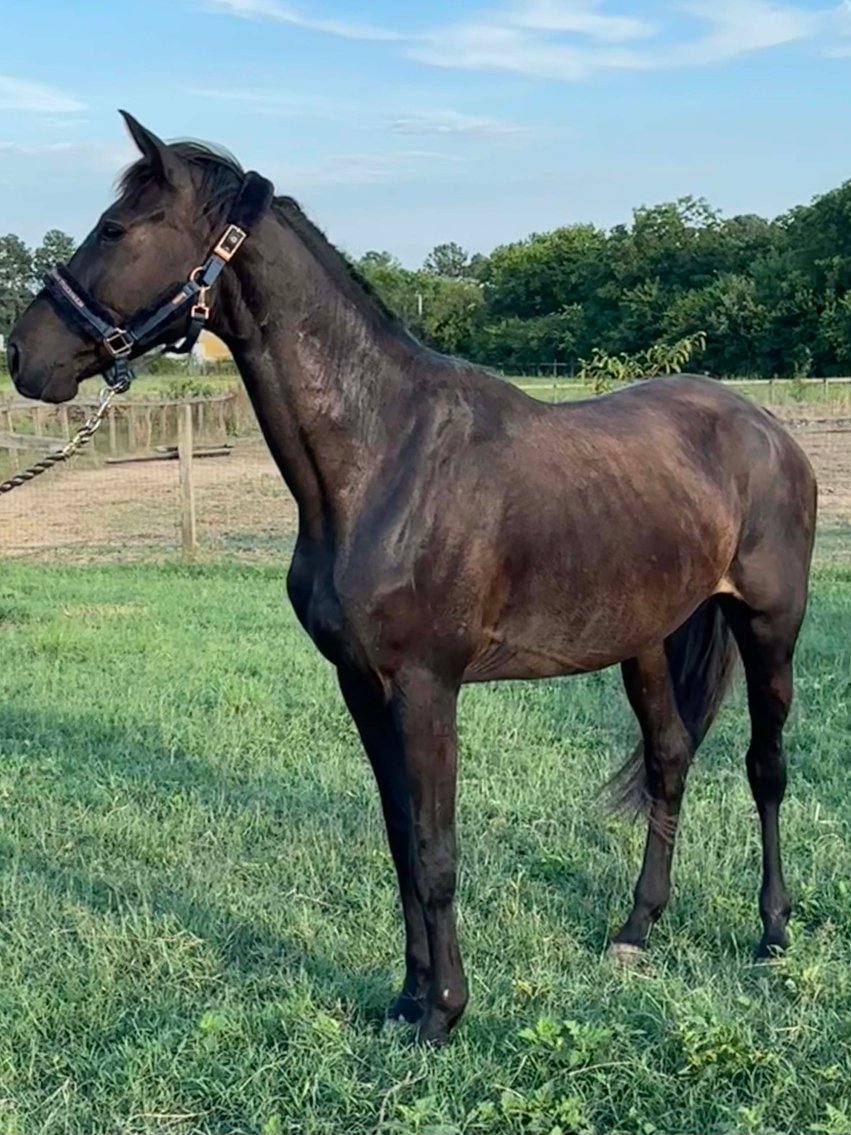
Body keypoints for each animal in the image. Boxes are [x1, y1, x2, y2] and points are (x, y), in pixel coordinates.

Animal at [7, 112, 817, 1045]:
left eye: (115, 230)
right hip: (646, 639)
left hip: (769, 627)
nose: (22, 353)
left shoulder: (428, 687)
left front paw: (444, 1013)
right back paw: (635, 929)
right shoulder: (362, 685)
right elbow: (400, 842)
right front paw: (404, 998)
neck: (382, 456)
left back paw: (771, 931)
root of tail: (766, 430)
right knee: (669, 761)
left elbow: (435, 853)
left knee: (765, 767)